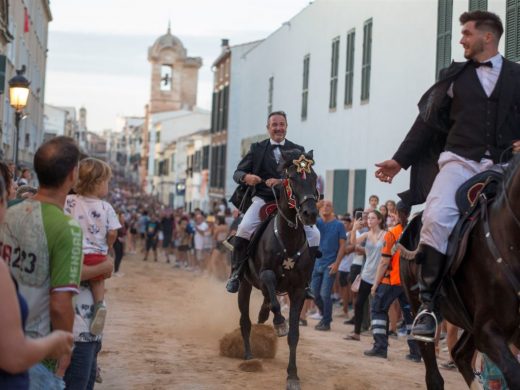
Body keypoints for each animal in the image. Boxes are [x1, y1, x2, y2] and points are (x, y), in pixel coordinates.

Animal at [238, 149, 318, 390]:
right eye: (292, 178)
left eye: (314, 178)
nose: (310, 213)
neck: (288, 237)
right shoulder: (265, 274)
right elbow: (274, 298)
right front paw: (280, 323)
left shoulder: (298, 290)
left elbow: (294, 335)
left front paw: (292, 376)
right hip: (244, 285)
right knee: (245, 321)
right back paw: (249, 356)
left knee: (265, 301)